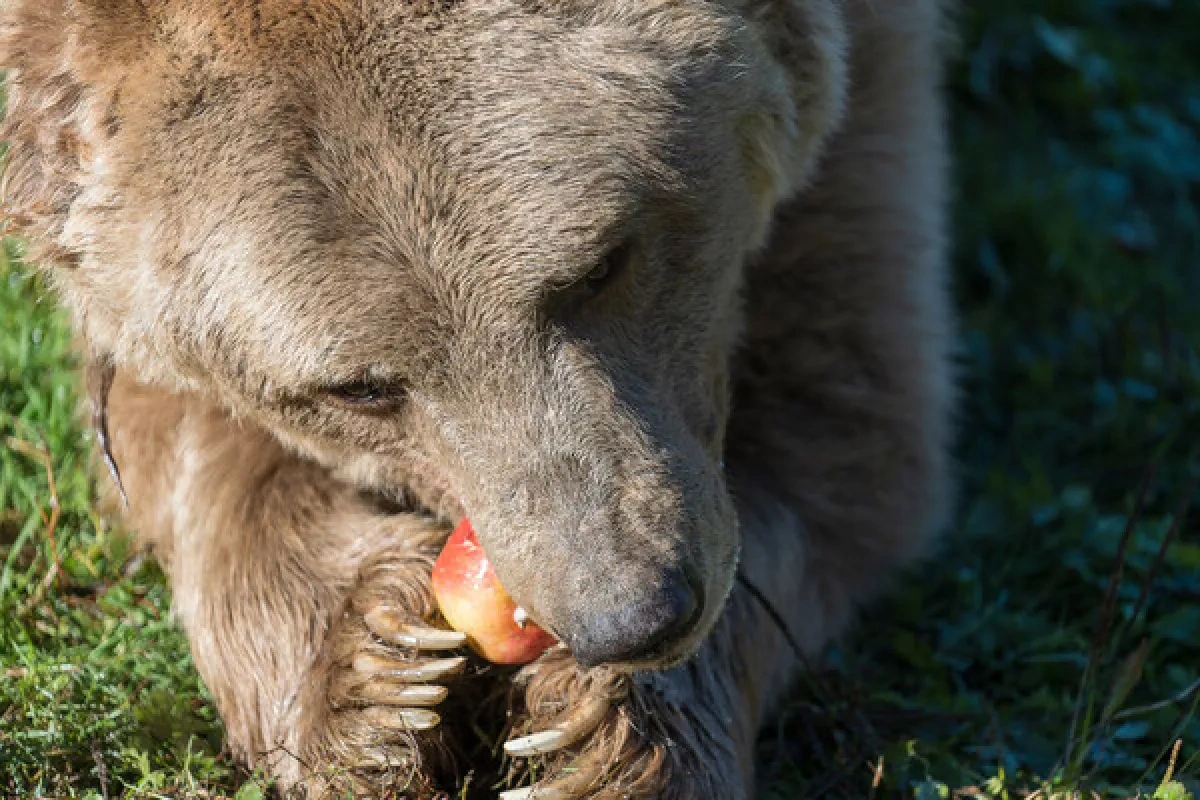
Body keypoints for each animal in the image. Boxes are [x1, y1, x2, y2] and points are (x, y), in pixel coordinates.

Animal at [0, 0, 954, 797]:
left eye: (600, 264)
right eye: (361, 385)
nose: (630, 618)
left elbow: (844, 422)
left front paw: (607, 732)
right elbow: (173, 426)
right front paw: (374, 680)